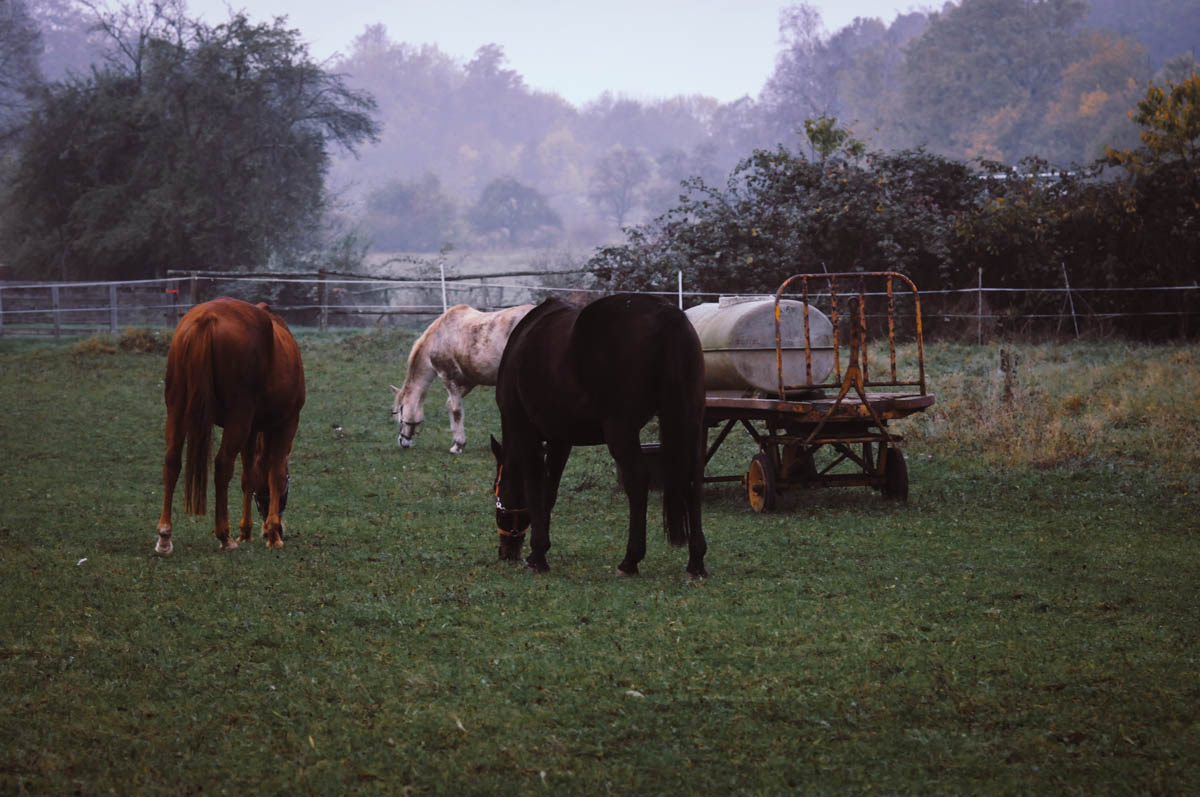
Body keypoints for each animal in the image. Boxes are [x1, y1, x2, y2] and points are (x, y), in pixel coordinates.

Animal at [152, 298, 304, 554]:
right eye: (288, 485)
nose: (272, 530)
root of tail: (207, 317)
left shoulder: (252, 430)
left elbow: (248, 478)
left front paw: (247, 532)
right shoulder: (287, 422)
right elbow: (275, 473)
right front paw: (273, 534)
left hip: (178, 409)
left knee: (171, 461)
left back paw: (165, 537)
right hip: (238, 418)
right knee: (223, 465)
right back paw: (224, 536)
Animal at [391, 304, 532, 453]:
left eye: (400, 415)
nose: (402, 441)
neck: (438, 338)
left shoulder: (448, 377)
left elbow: (456, 409)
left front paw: (458, 445)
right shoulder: (469, 382)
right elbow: (450, 405)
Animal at [489, 295, 705, 576]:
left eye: (496, 488)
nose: (506, 551)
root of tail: (668, 314)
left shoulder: (525, 432)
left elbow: (535, 489)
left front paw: (537, 555)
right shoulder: (560, 439)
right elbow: (549, 491)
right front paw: (541, 551)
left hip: (621, 429)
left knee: (637, 479)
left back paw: (630, 560)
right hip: (690, 422)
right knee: (692, 479)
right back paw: (696, 561)